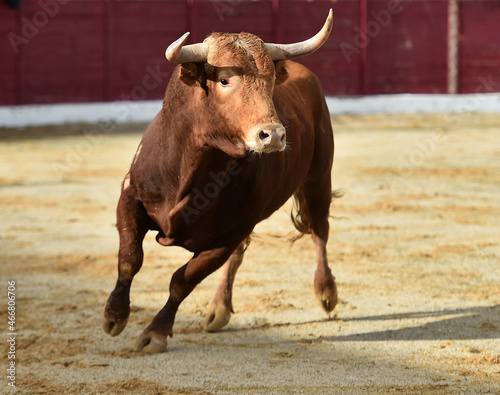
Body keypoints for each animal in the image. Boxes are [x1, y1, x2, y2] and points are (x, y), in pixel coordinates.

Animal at [104, 10, 340, 356]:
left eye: (271, 81)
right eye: (225, 79)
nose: (273, 135)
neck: (193, 168)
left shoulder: (228, 236)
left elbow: (182, 280)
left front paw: (155, 333)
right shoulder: (131, 198)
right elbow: (129, 259)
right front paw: (114, 315)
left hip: (319, 176)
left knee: (320, 230)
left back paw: (326, 292)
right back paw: (219, 308)